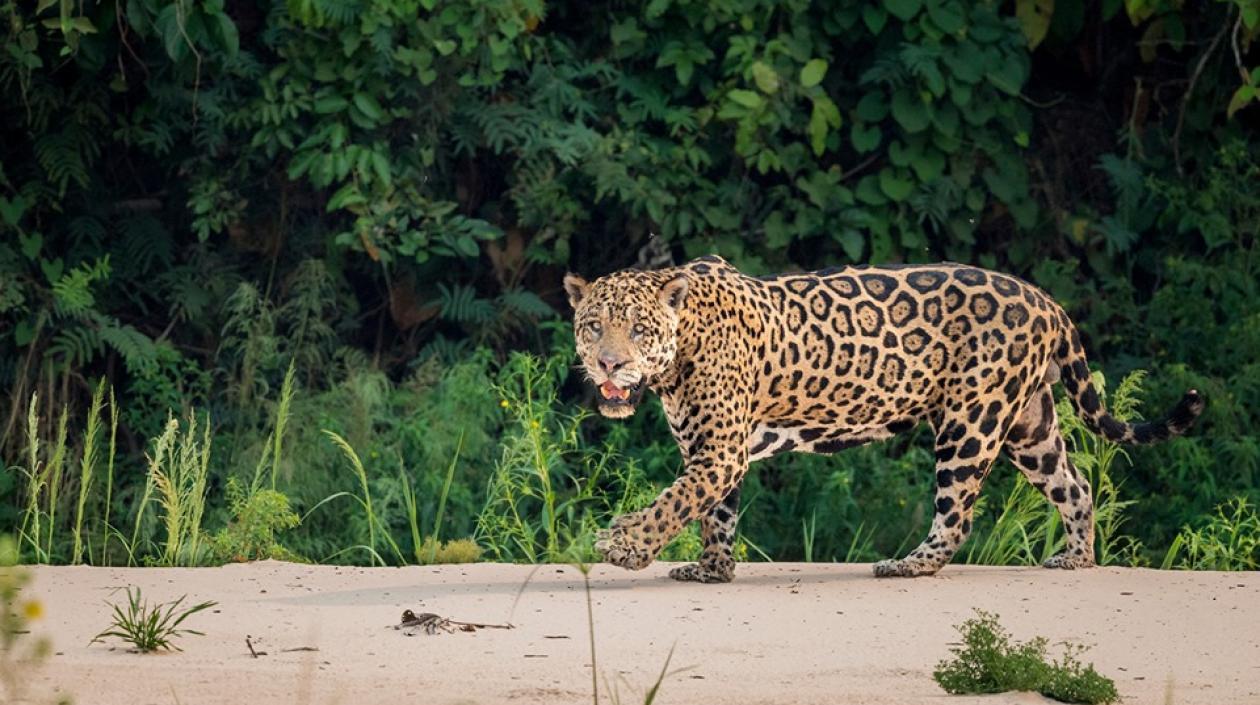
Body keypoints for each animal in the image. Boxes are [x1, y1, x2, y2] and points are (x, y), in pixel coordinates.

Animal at [563, 255, 1204, 583]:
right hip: (1029, 425)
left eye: (638, 330)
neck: (683, 342)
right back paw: (1076, 557)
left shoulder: (720, 450)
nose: (609, 363)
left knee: (957, 516)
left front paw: (624, 546)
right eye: (593, 326)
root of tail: (1045, 299)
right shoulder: (715, 450)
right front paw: (713, 570)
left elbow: (673, 501)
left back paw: (907, 565)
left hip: (971, 421)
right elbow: (712, 511)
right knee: (1074, 485)